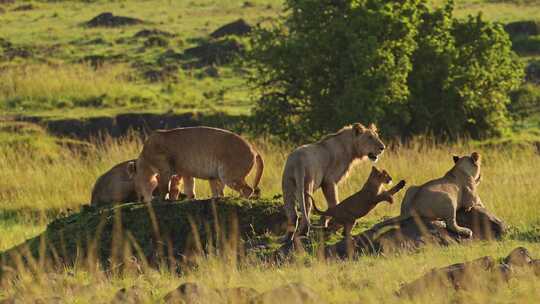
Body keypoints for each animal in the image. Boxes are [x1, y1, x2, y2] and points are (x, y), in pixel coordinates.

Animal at [129, 127, 264, 203]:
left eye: (136, 186)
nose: (141, 199)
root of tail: (254, 149)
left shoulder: (165, 169)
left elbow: (164, 186)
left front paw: (162, 199)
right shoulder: (183, 171)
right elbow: (185, 186)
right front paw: (188, 198)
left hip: (228, 174)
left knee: (248, 189)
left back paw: (239, 199)